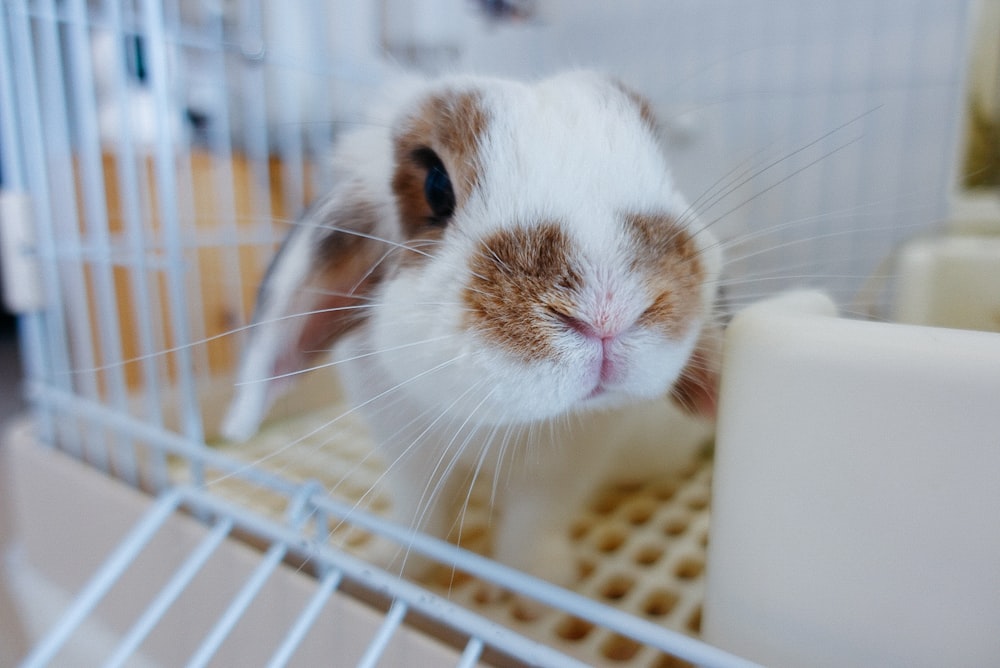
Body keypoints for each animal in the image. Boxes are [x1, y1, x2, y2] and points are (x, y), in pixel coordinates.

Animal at [223, 69, 724, 588]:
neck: (493, 424)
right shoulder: (408, 456)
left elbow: (532, 526)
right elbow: (421, 517)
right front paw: (393, 566)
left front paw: (542, 583)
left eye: (660, 164)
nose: (609, 313)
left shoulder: (559, 472)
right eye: (435, 185)